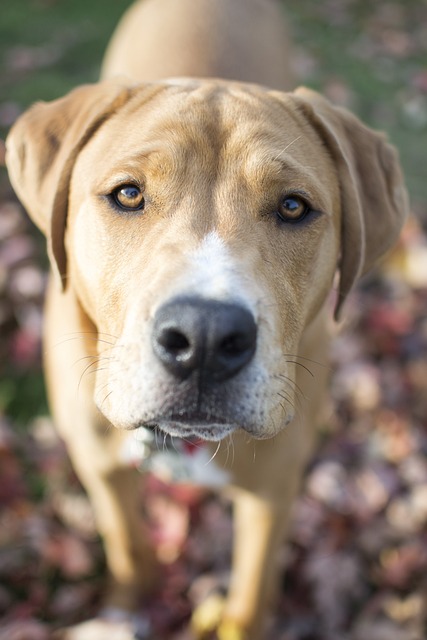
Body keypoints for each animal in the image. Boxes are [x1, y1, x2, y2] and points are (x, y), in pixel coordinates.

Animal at [5, 0, 410, 636]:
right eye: (127, 194)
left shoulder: (274, 493)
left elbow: (247, 595)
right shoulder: (97, 464)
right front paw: (124, 608)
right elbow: (127, 540)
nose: (205, 337)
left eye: (293, 206)